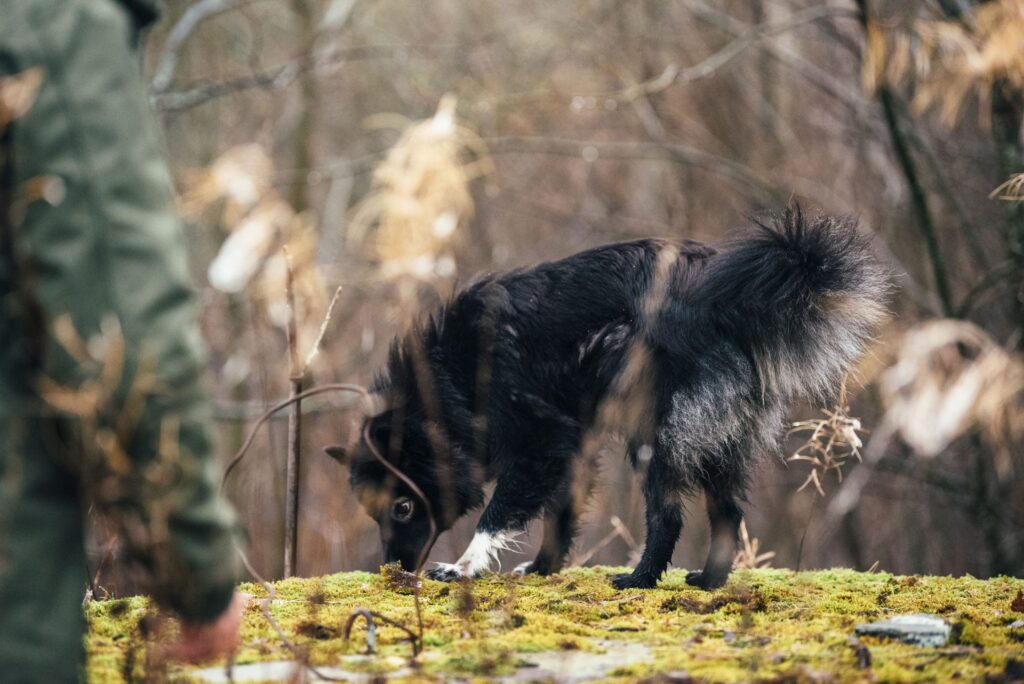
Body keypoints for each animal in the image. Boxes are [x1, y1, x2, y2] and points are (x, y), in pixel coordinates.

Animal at [325, 205, 888, 589]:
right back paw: (708, 582)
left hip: (658, 432)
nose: (392, 571)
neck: (450, 386)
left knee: (668, 515)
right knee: (728, 512)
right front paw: (544, 569)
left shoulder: (543, 439)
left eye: (402, 508)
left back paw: (640, 579)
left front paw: (464, 567)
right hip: (716, 434)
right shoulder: (571, 445)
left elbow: (499, 514)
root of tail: (730, 302)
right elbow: (561, 513)